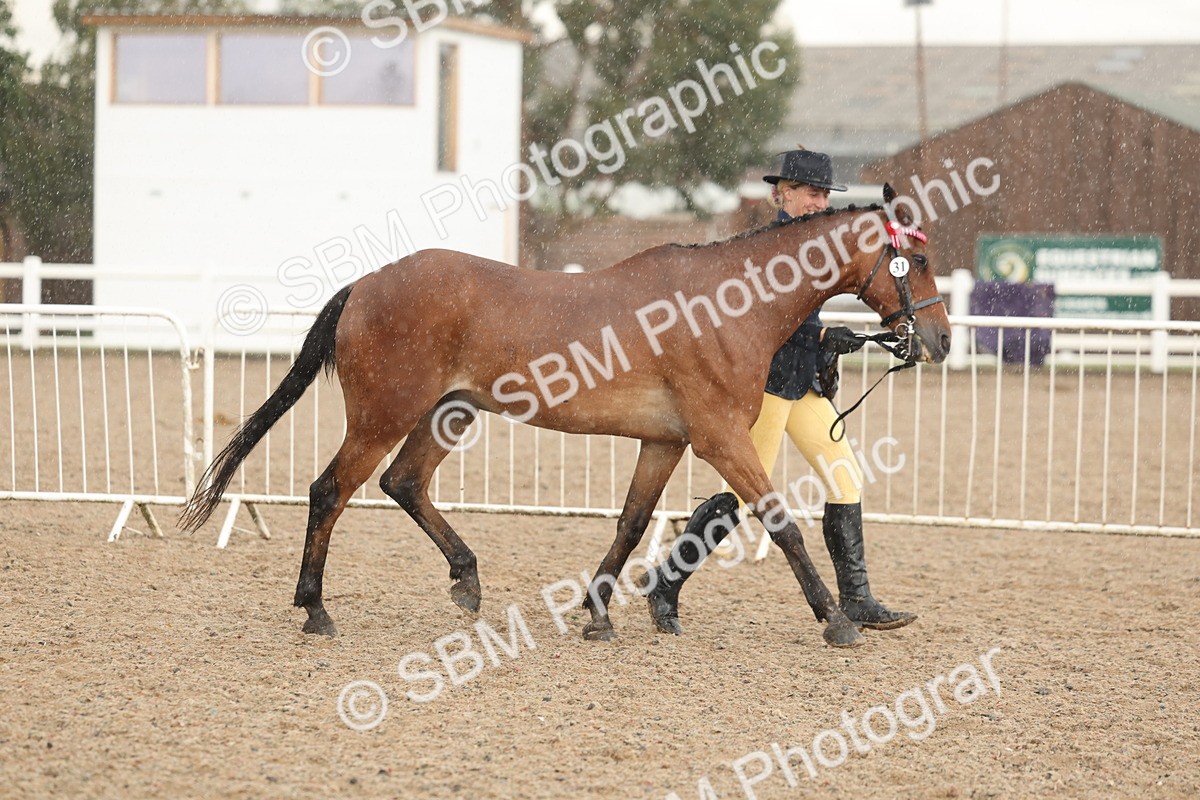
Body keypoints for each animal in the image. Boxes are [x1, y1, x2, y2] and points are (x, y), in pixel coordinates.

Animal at [179, 184, 951, 649]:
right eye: (914, 260)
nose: (939, 342)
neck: (727, 305)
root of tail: (367, 283)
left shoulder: (665, 442)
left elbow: (634, 523)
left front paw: (602, 612)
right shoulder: (720, 438)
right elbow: (781, 522)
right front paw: (836, 620)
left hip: (449, 413)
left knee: (404, 483)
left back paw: (467, 579)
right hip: (383, 415)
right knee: (331, 491)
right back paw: (315, 608)